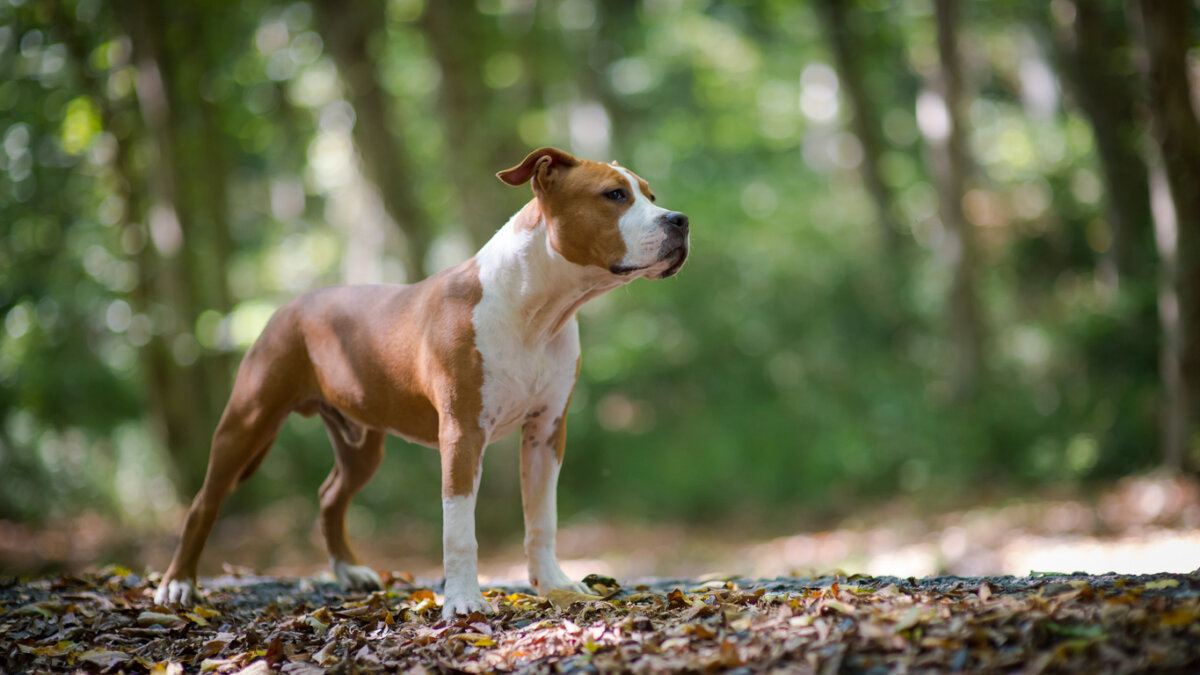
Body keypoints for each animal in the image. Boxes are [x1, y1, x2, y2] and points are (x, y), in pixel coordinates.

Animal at [154, 147, 691, 614]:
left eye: (652, 194)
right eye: (614, 195)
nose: (680, 220)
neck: (538, 308)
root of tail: (290, 306)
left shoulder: (545, 431)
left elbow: (543, 518)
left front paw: (554, 585)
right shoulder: (462, 433)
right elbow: (459, 529)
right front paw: (464, 601)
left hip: (362, 444)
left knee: (330, 495)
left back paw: (349, 570)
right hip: (248, 420)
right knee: (204, 502)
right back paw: (178, 584)